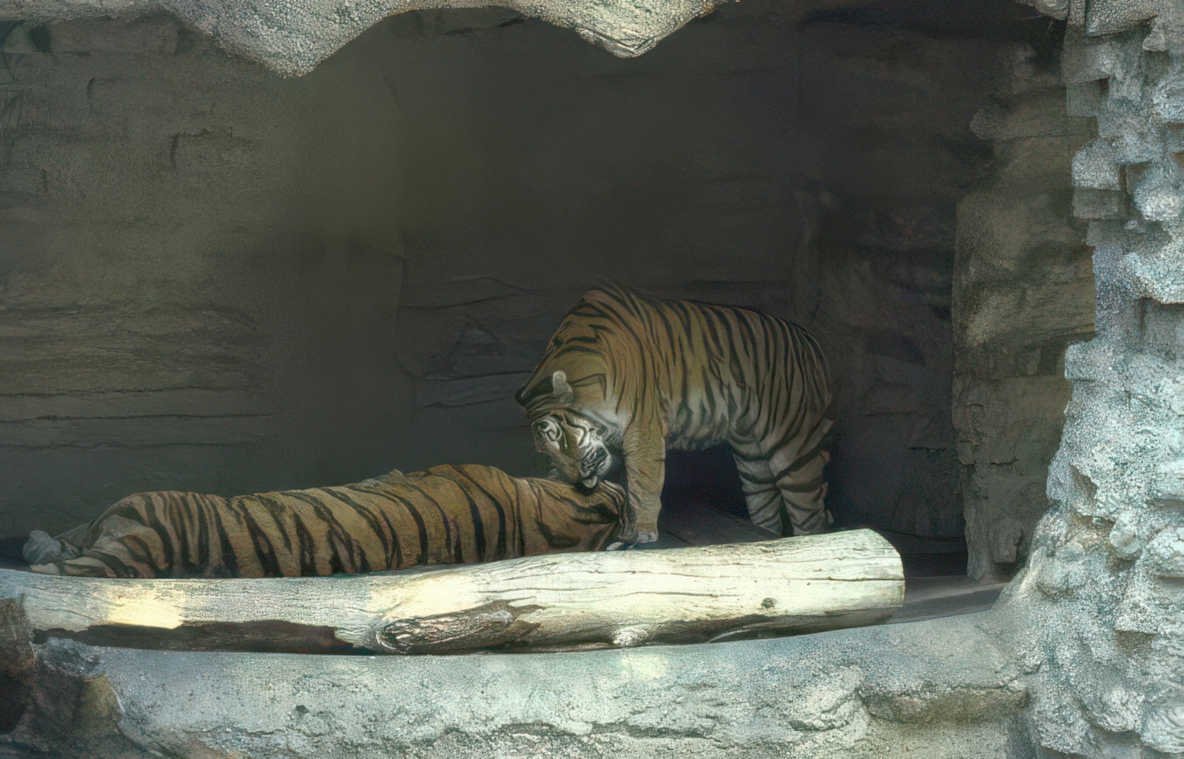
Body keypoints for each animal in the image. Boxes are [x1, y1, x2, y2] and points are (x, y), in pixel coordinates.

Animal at [516, 285, 833, 547]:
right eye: (546, 452)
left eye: (557, 437)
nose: (580, 483)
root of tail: (809, 338)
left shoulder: (642, 429)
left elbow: (643, 481)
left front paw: (642, 531)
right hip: (752, 457)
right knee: (765, 504)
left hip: (793, 444)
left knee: (810, 513)